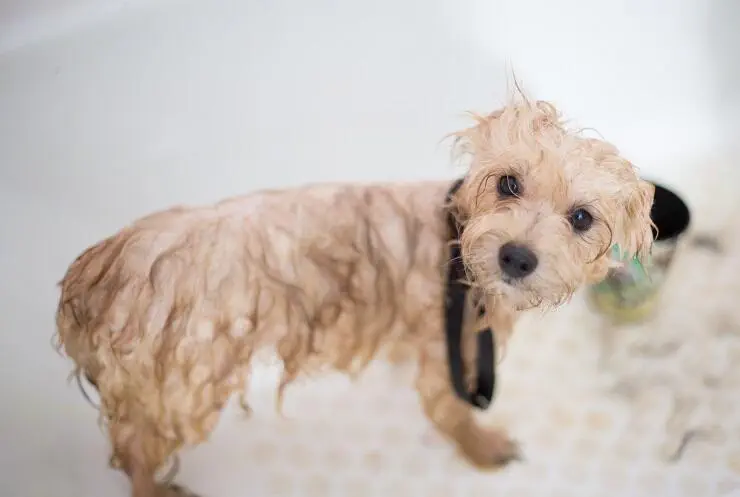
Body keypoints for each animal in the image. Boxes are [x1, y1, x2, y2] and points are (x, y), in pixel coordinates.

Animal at [56, 94, 652, 496]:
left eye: (582, 218)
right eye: (508, 183)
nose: (516, 256)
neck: (456, 245)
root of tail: (93, 275)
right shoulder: (447, 349)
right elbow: (449, 413)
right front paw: (483, 449)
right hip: (179, 389)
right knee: (135, 452)